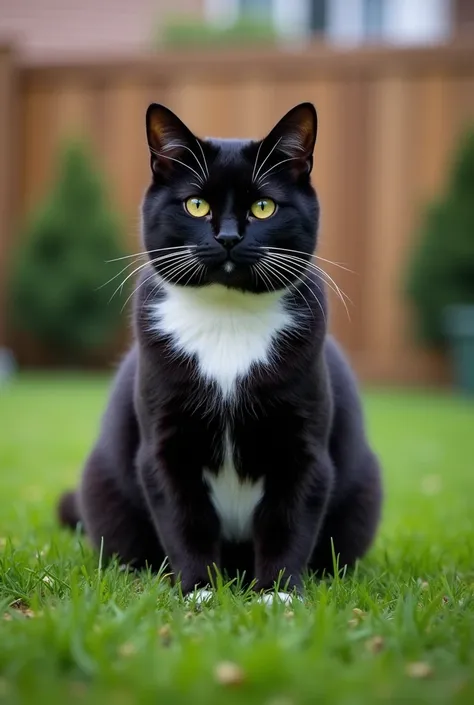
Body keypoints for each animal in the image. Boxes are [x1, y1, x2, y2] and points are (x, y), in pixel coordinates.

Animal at [59, 103, 384, 600]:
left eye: (264, 206)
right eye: (196, 203)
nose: (229, 237)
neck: (227, 321)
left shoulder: (303, 445)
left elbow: (290, 519)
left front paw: (279, 594)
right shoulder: (165, 444)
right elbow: (184, 518)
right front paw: (199, 590)